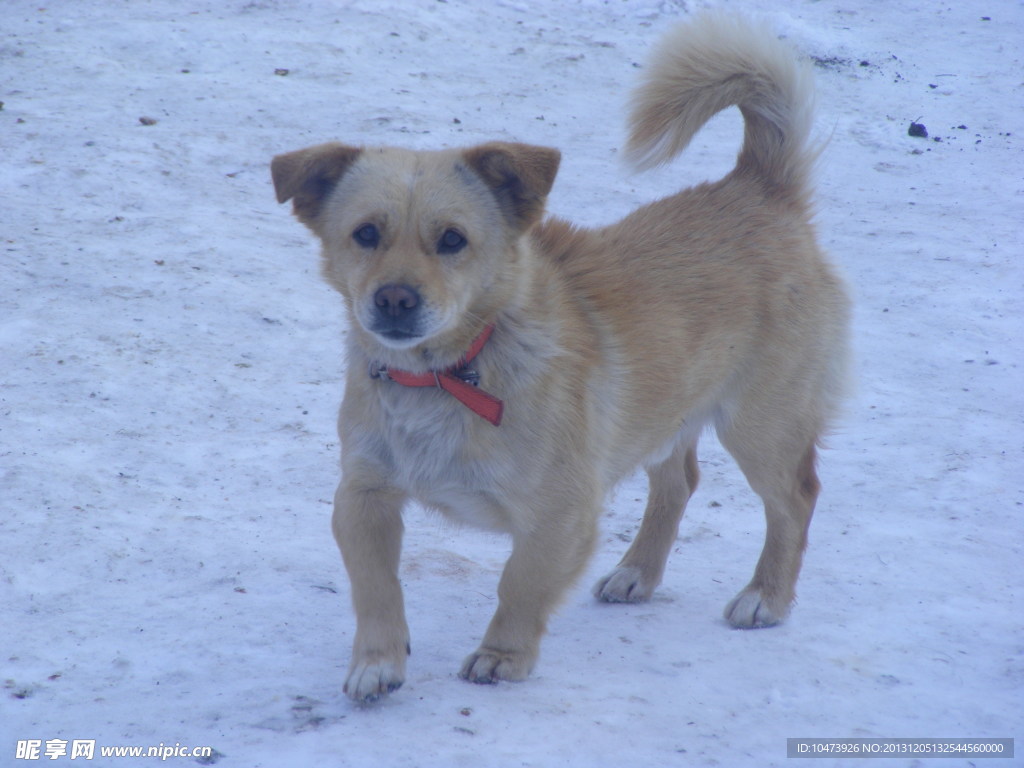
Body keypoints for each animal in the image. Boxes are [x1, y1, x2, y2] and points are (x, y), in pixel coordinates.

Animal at [270, 13, 847, 704]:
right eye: (365, 234)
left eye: (453, 240)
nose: (395, 299)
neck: (447, 375)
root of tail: (757, 187)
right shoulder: (363, 496)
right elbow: (376, 589)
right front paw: (378, 663)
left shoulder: (559, 512)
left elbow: (519, 584)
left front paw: (503, 655)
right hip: (664, 410)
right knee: (679, 481)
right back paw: (636, 573)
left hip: (761, 426)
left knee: (796, 500)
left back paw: (766, 596)